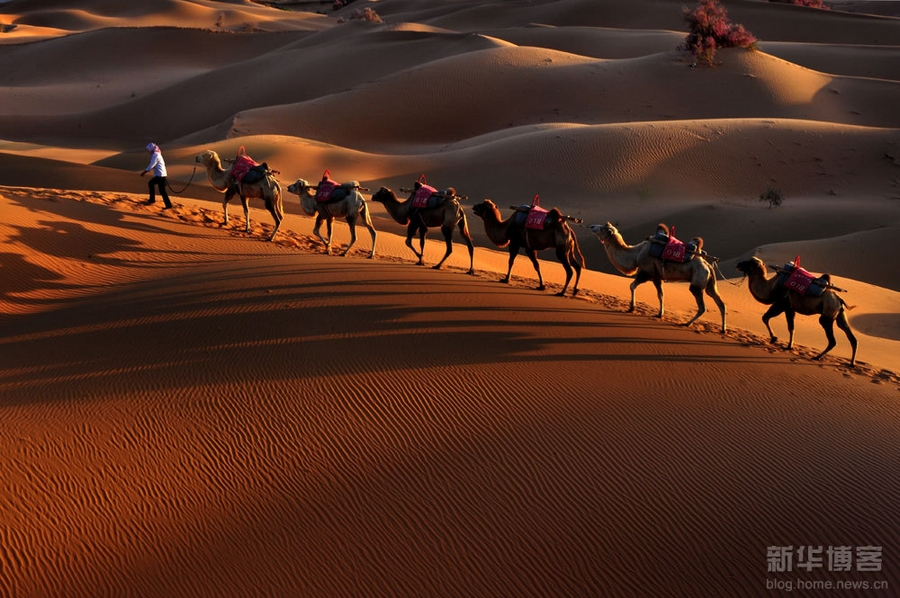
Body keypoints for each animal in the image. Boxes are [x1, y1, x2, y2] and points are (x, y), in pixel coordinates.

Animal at [588, 223, 728, 332]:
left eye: (603, 228)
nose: (592, 226)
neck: (635, 254)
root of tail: (708, 265)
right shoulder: (657, 277)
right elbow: (660, 295)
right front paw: (660, 314)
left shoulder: (646, 272)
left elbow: (632, 286)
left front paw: (631, 307)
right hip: (709, 283)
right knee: (720, 302)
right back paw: (723, 329)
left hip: (698, 281)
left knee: (702, 306)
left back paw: (687, 323)